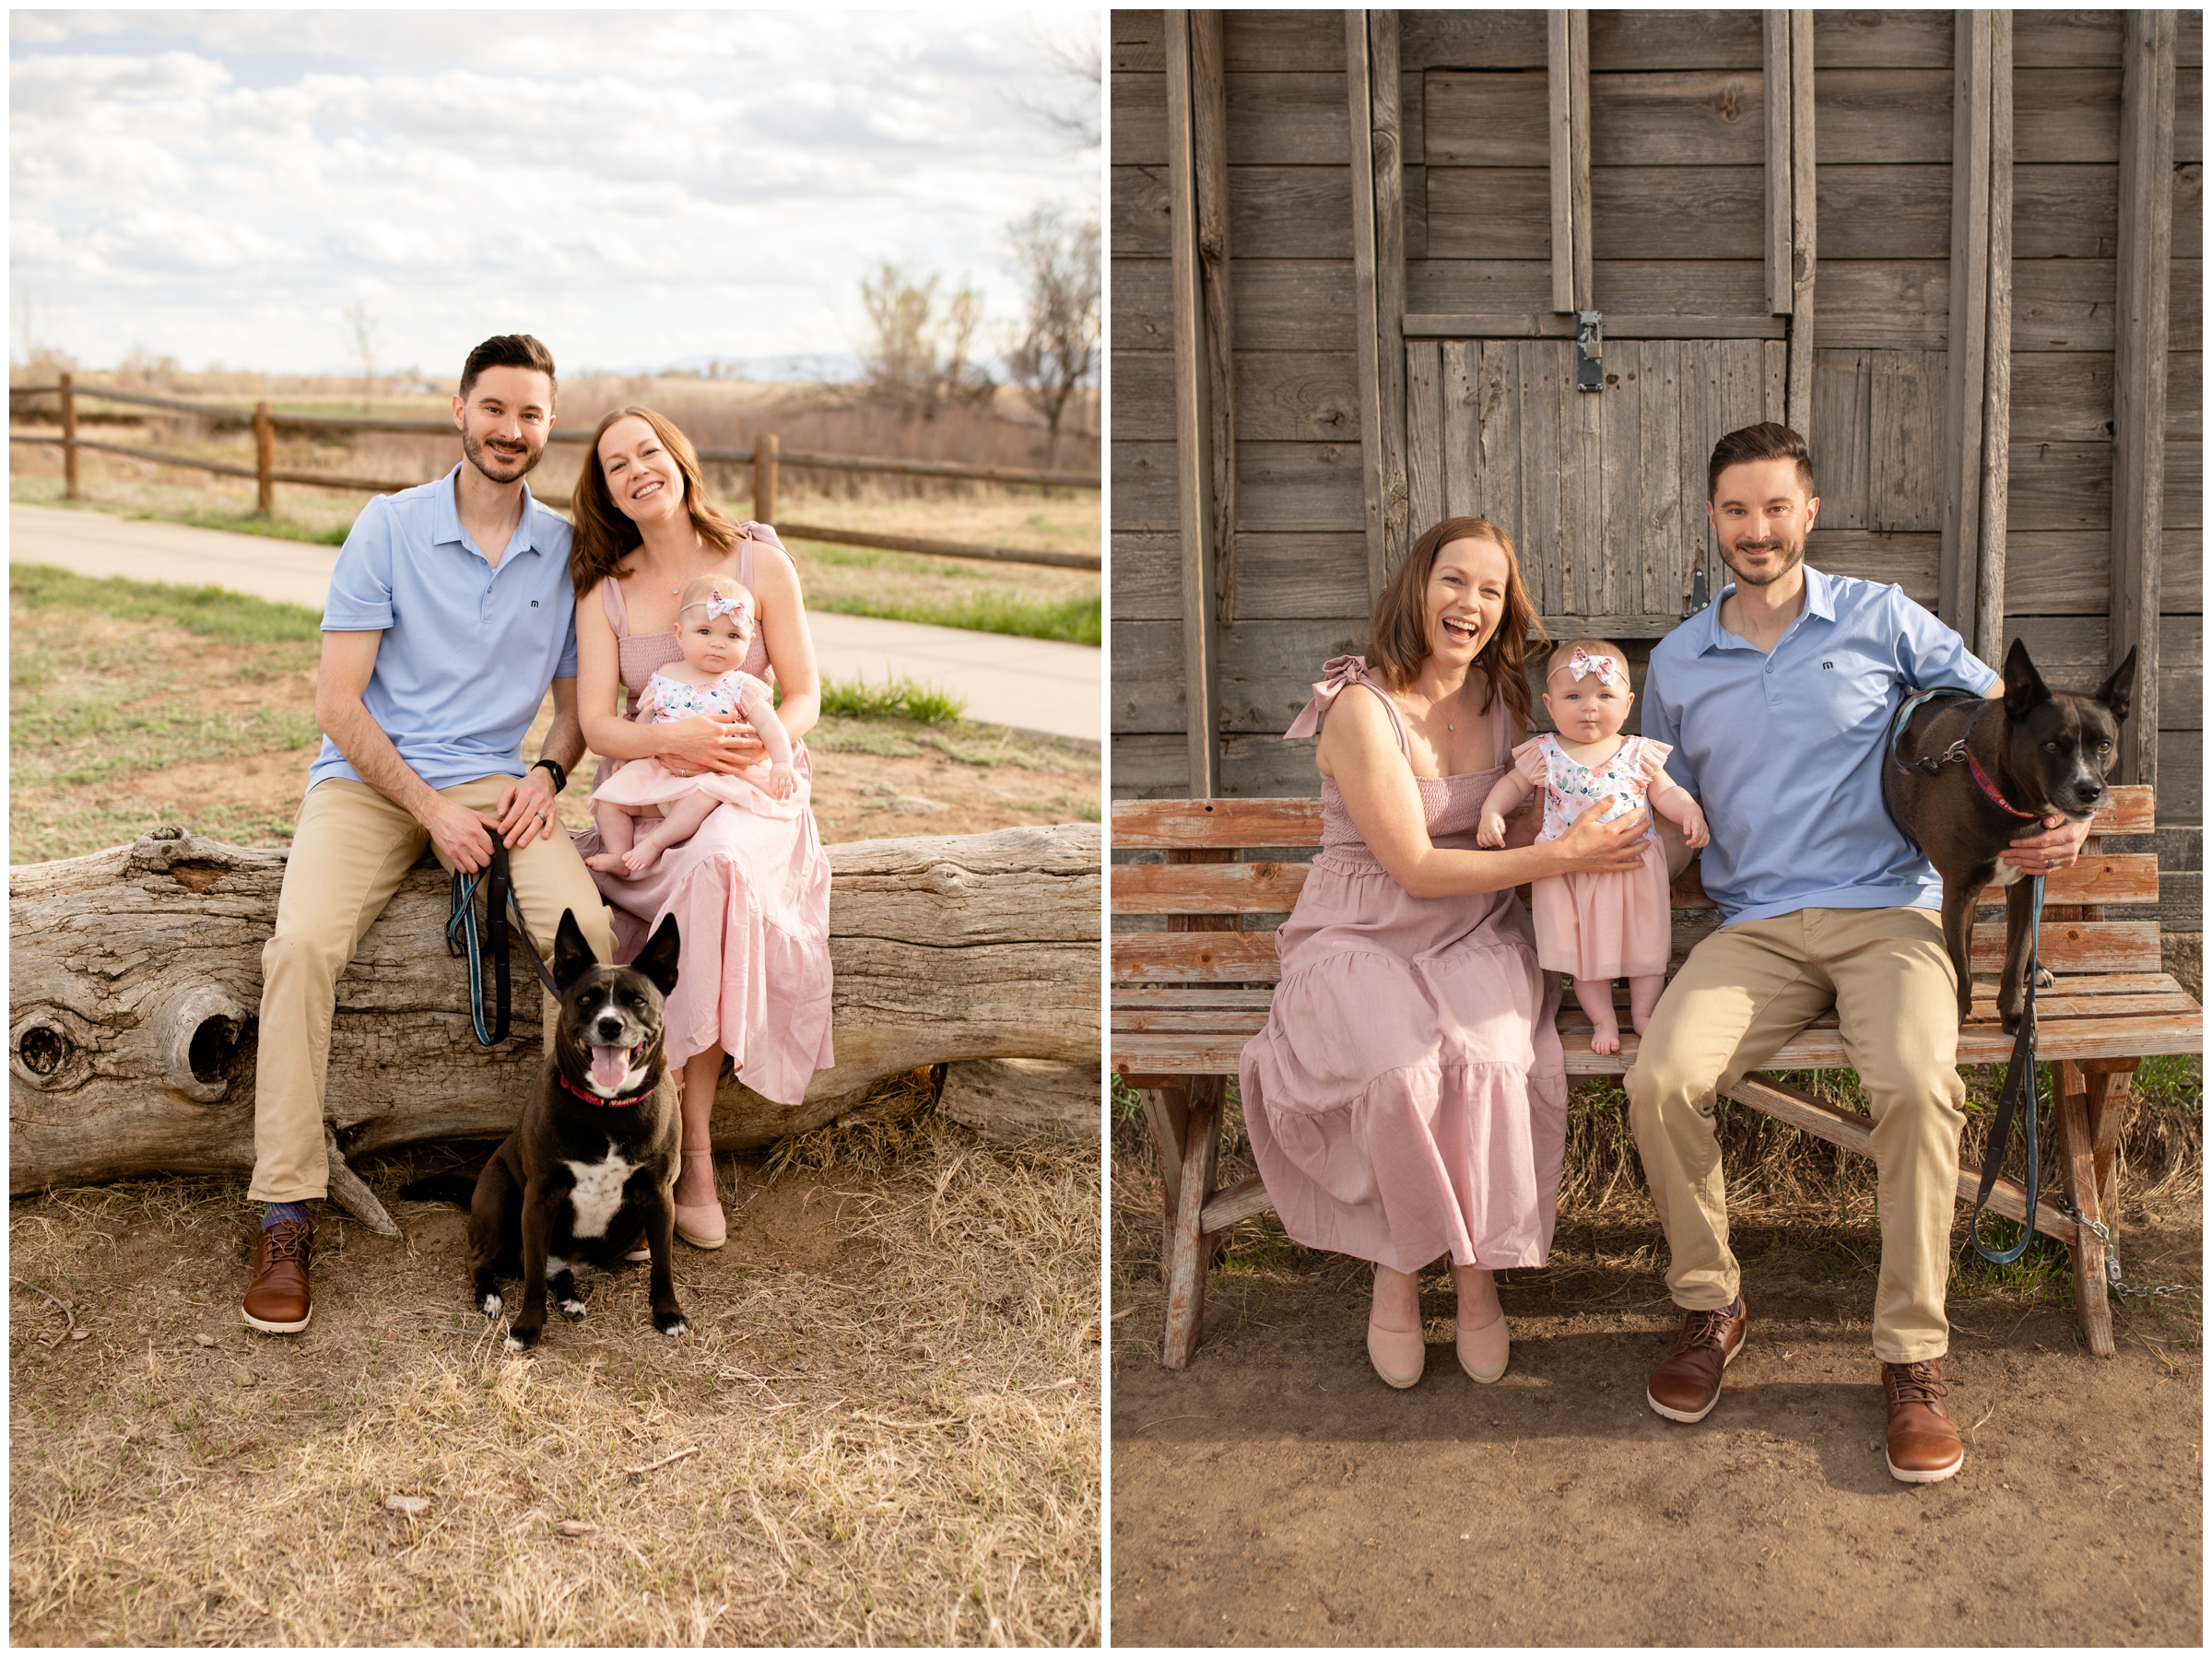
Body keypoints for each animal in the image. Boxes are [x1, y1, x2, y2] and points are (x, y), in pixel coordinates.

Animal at [402, 911, 686, 1354]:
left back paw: (569, 1296)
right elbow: (533, 1278)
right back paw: (491, 1295)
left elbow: (664, 1265)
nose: (610, 1025)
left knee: (554, 1274)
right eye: (586, 999)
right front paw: (527, 1327)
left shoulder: (659, 1196)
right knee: (486, 1261)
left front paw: (668, 1313)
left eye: (637, 1000)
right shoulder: (539, 1198)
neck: (605, 1108)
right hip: (499, 1194)